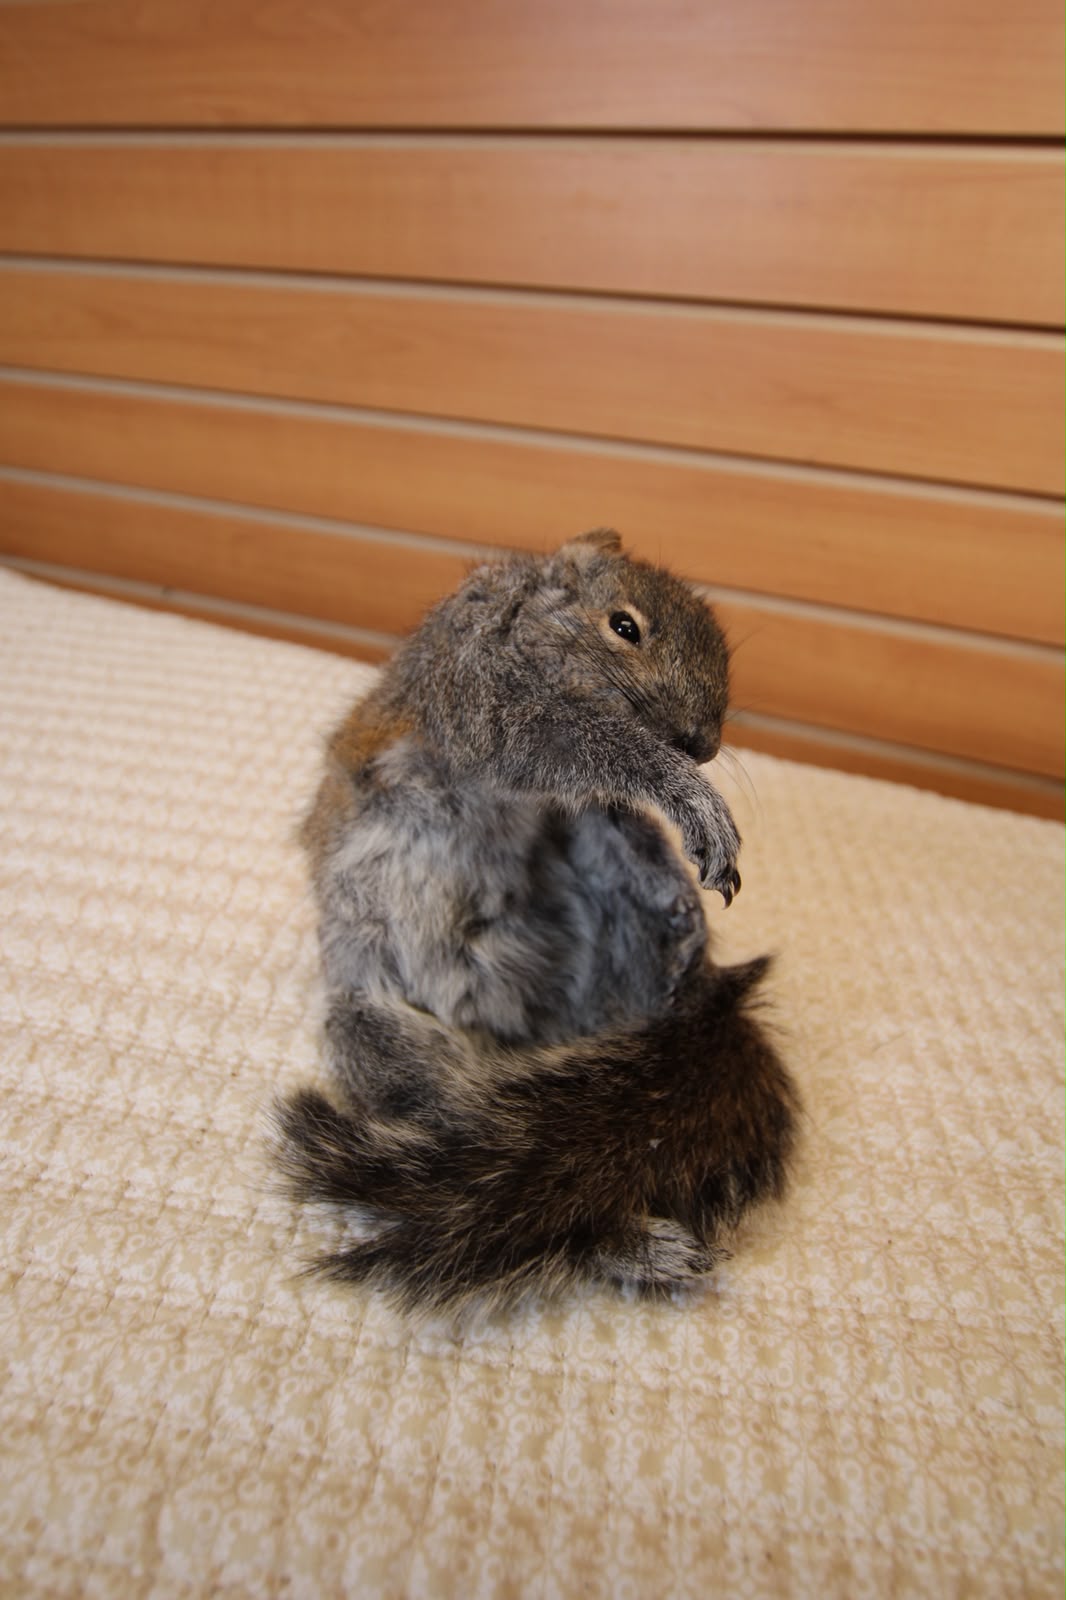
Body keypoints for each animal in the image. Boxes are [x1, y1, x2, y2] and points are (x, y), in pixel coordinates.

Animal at [275, 529, 798, 1315]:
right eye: (624, 627)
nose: (703, 744)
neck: (523, 617)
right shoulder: (475, 686)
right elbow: (570, 745)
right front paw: (690, 796)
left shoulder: (582, 811)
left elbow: (621, 830)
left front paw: (683, 892)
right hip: (384, 1040)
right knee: (466, 1138)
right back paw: (632, 1244)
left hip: (612, 950)